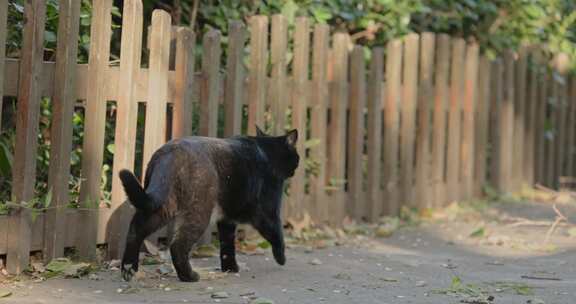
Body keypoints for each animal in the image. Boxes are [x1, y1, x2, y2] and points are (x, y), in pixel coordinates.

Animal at [116, 126, 296, 282]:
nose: (295, 168)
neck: (266, 151)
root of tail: (170, 152)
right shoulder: (268, 212)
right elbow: (277, 233)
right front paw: (281, 258)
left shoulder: (227, 219)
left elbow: (227, 246)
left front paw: (230, 268)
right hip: (199, 213)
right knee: (177, 245)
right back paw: (189, 276)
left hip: (162, 206)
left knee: (135, 231)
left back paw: (128, 270)